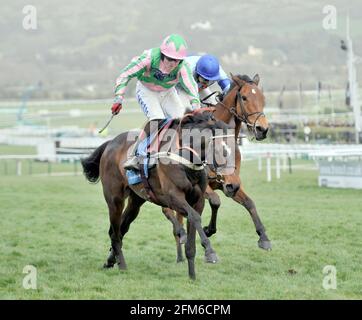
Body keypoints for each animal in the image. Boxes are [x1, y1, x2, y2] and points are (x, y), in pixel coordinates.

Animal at [80, 112, 236, 280]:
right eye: (223, 150)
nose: (232, 185)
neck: (184, 157)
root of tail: (110, 143)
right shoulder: (173, 198)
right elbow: (194, 217)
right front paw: (210, 252)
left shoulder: (198, 200)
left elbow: (192, 233)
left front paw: (192, 276)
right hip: (114, 199)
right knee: (115, 233)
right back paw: (122, 265)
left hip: (136, 201)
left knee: (121, 229)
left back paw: (110, 261)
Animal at [165, 73, 270, 262]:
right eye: (244, 97)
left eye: (262, 98)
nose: (262, 129)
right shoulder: (204, 187)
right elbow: (215, 201)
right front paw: (208, 232)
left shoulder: (230, 184)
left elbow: (249, 203)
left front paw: (264, 237)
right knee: (168, 211)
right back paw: (181, 233)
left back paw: (180, 255)